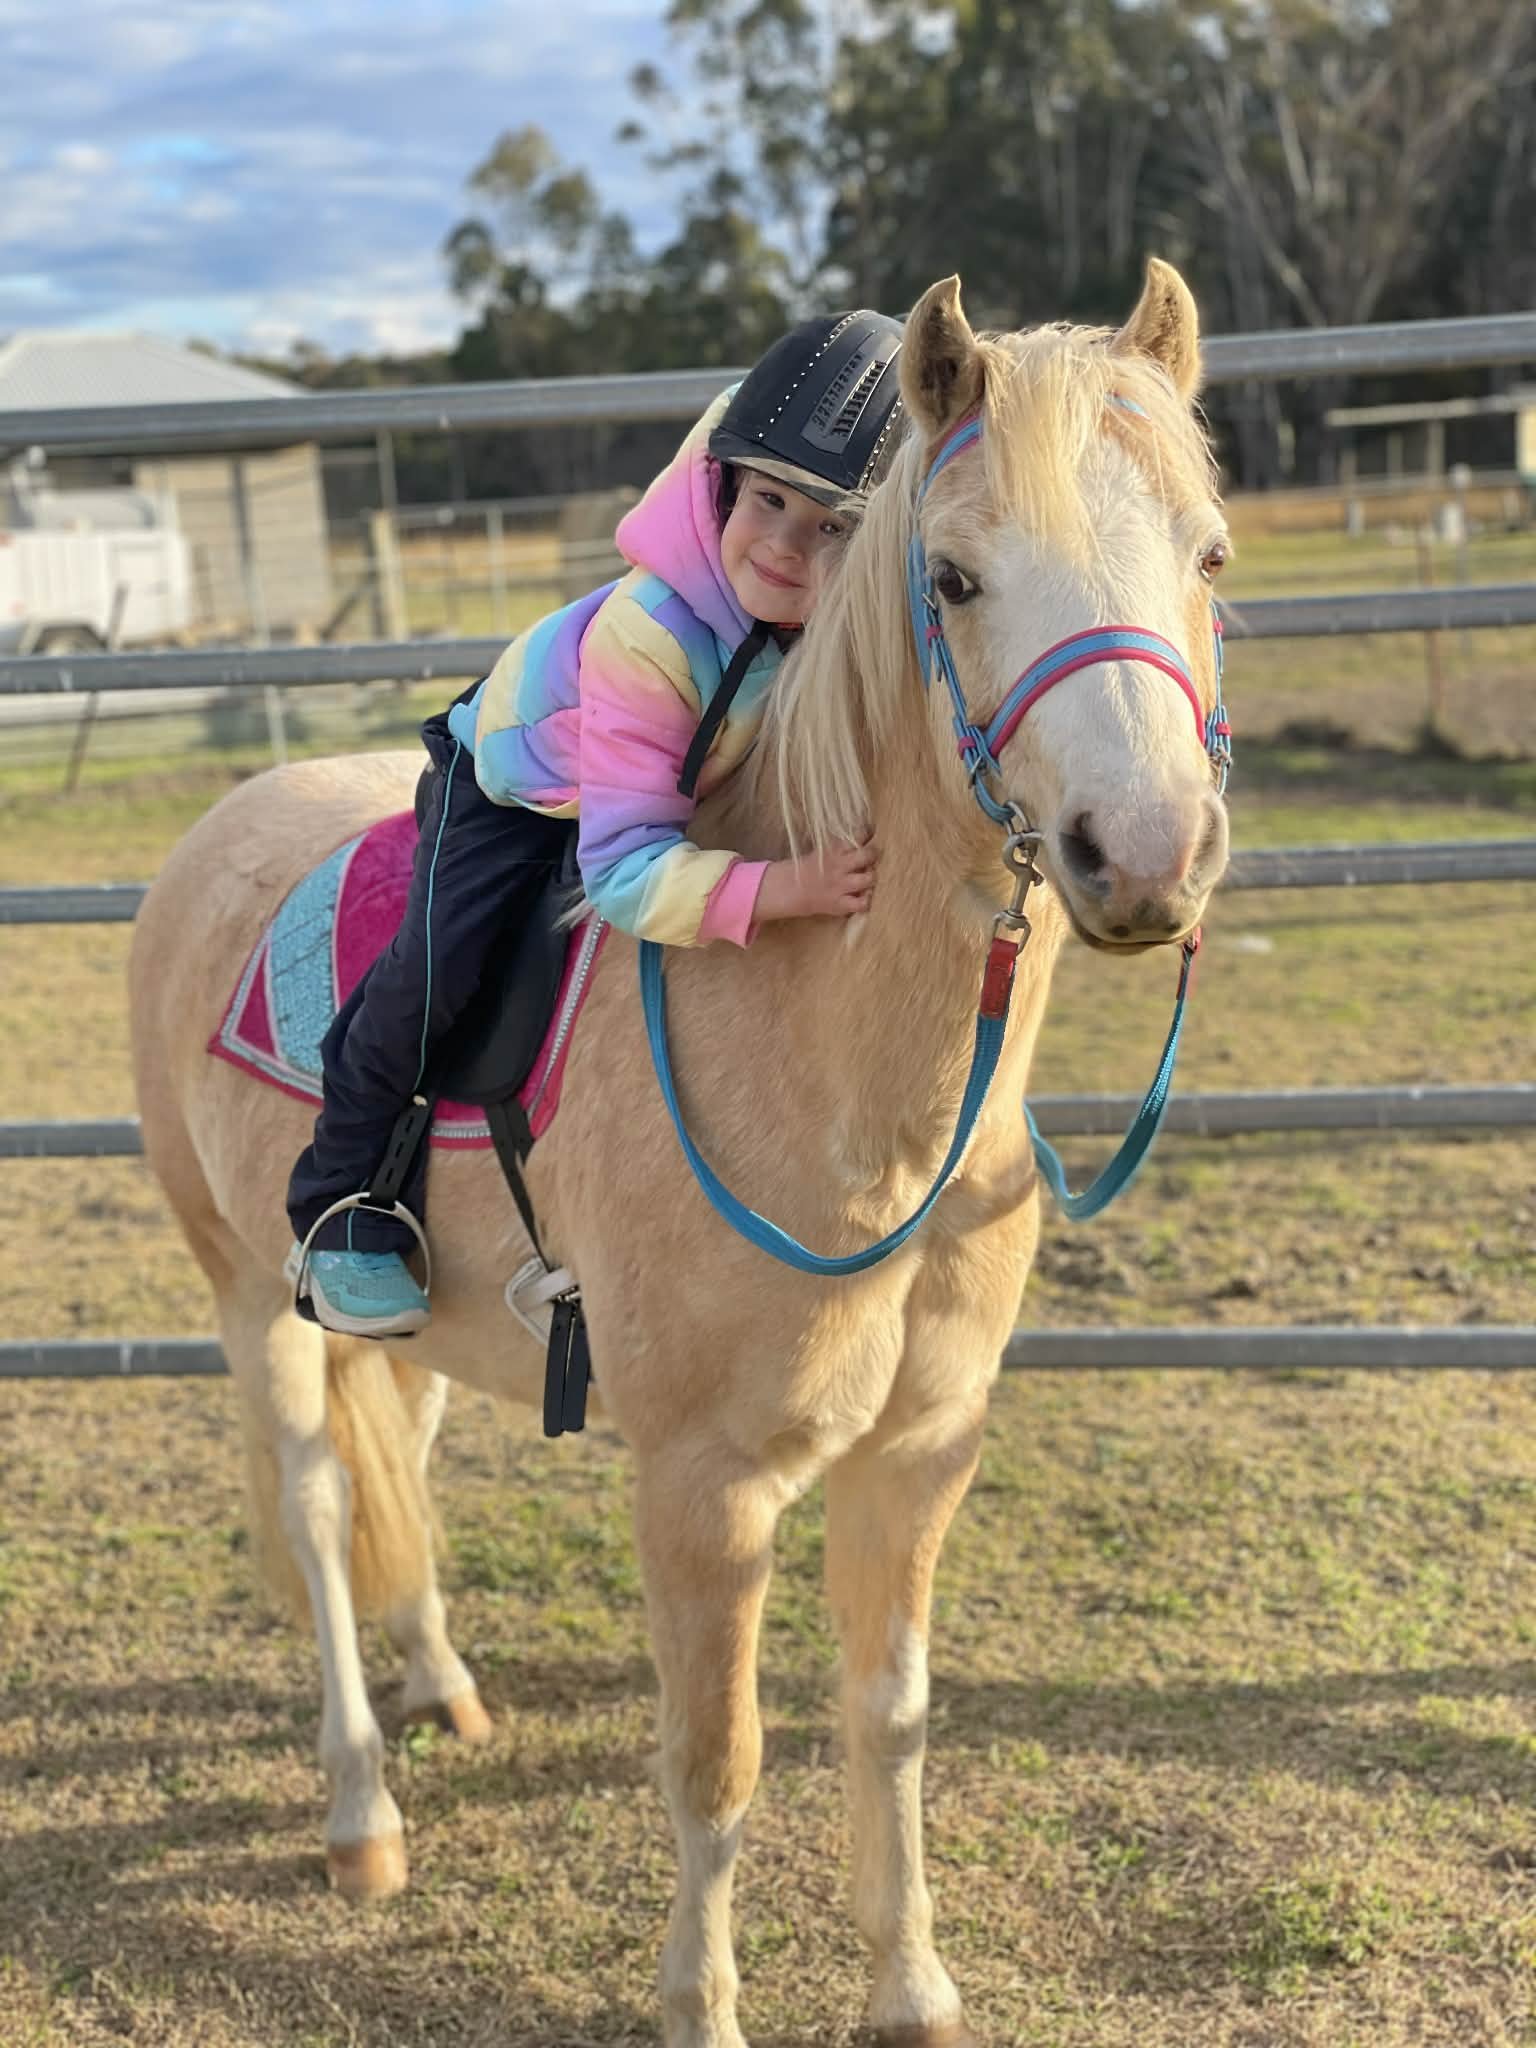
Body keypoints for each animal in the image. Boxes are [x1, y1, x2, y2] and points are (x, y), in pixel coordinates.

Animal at [129, 261, 1230, 2048]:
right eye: (955, 577)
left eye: (1207, 555)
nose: (1143, 856)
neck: (845, 1080)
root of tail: (222, 828)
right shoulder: (704, 1489)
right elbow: (717, 1763)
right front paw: (701, 2004)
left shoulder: (920, 1454)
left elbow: (888, 1715)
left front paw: (912, 1986)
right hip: (246, 1296)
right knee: (312, 1504)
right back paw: (362, 1812)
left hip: (410, 1327)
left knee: (396, 1463)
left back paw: (446, 1683)